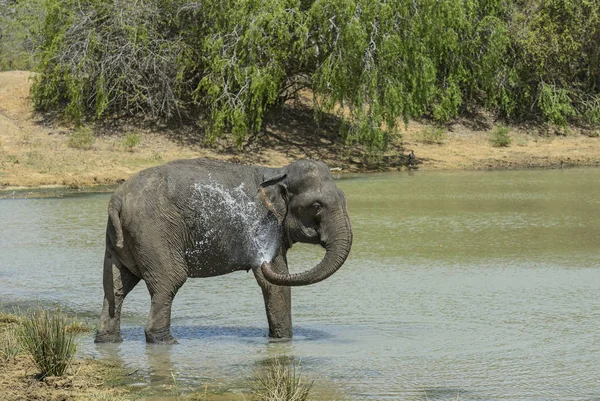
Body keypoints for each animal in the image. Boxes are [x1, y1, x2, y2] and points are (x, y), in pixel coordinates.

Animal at [95, 158, 352, 342]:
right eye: (316, 206)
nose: (259, 259)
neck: (277, 172)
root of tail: (116, 200)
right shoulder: (265, 226)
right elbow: (275, 282)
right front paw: (284, 342)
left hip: (120, 240)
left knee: (115, 286)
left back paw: (107, 339)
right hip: (155, 232)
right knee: (169, 281)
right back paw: (166, 341)